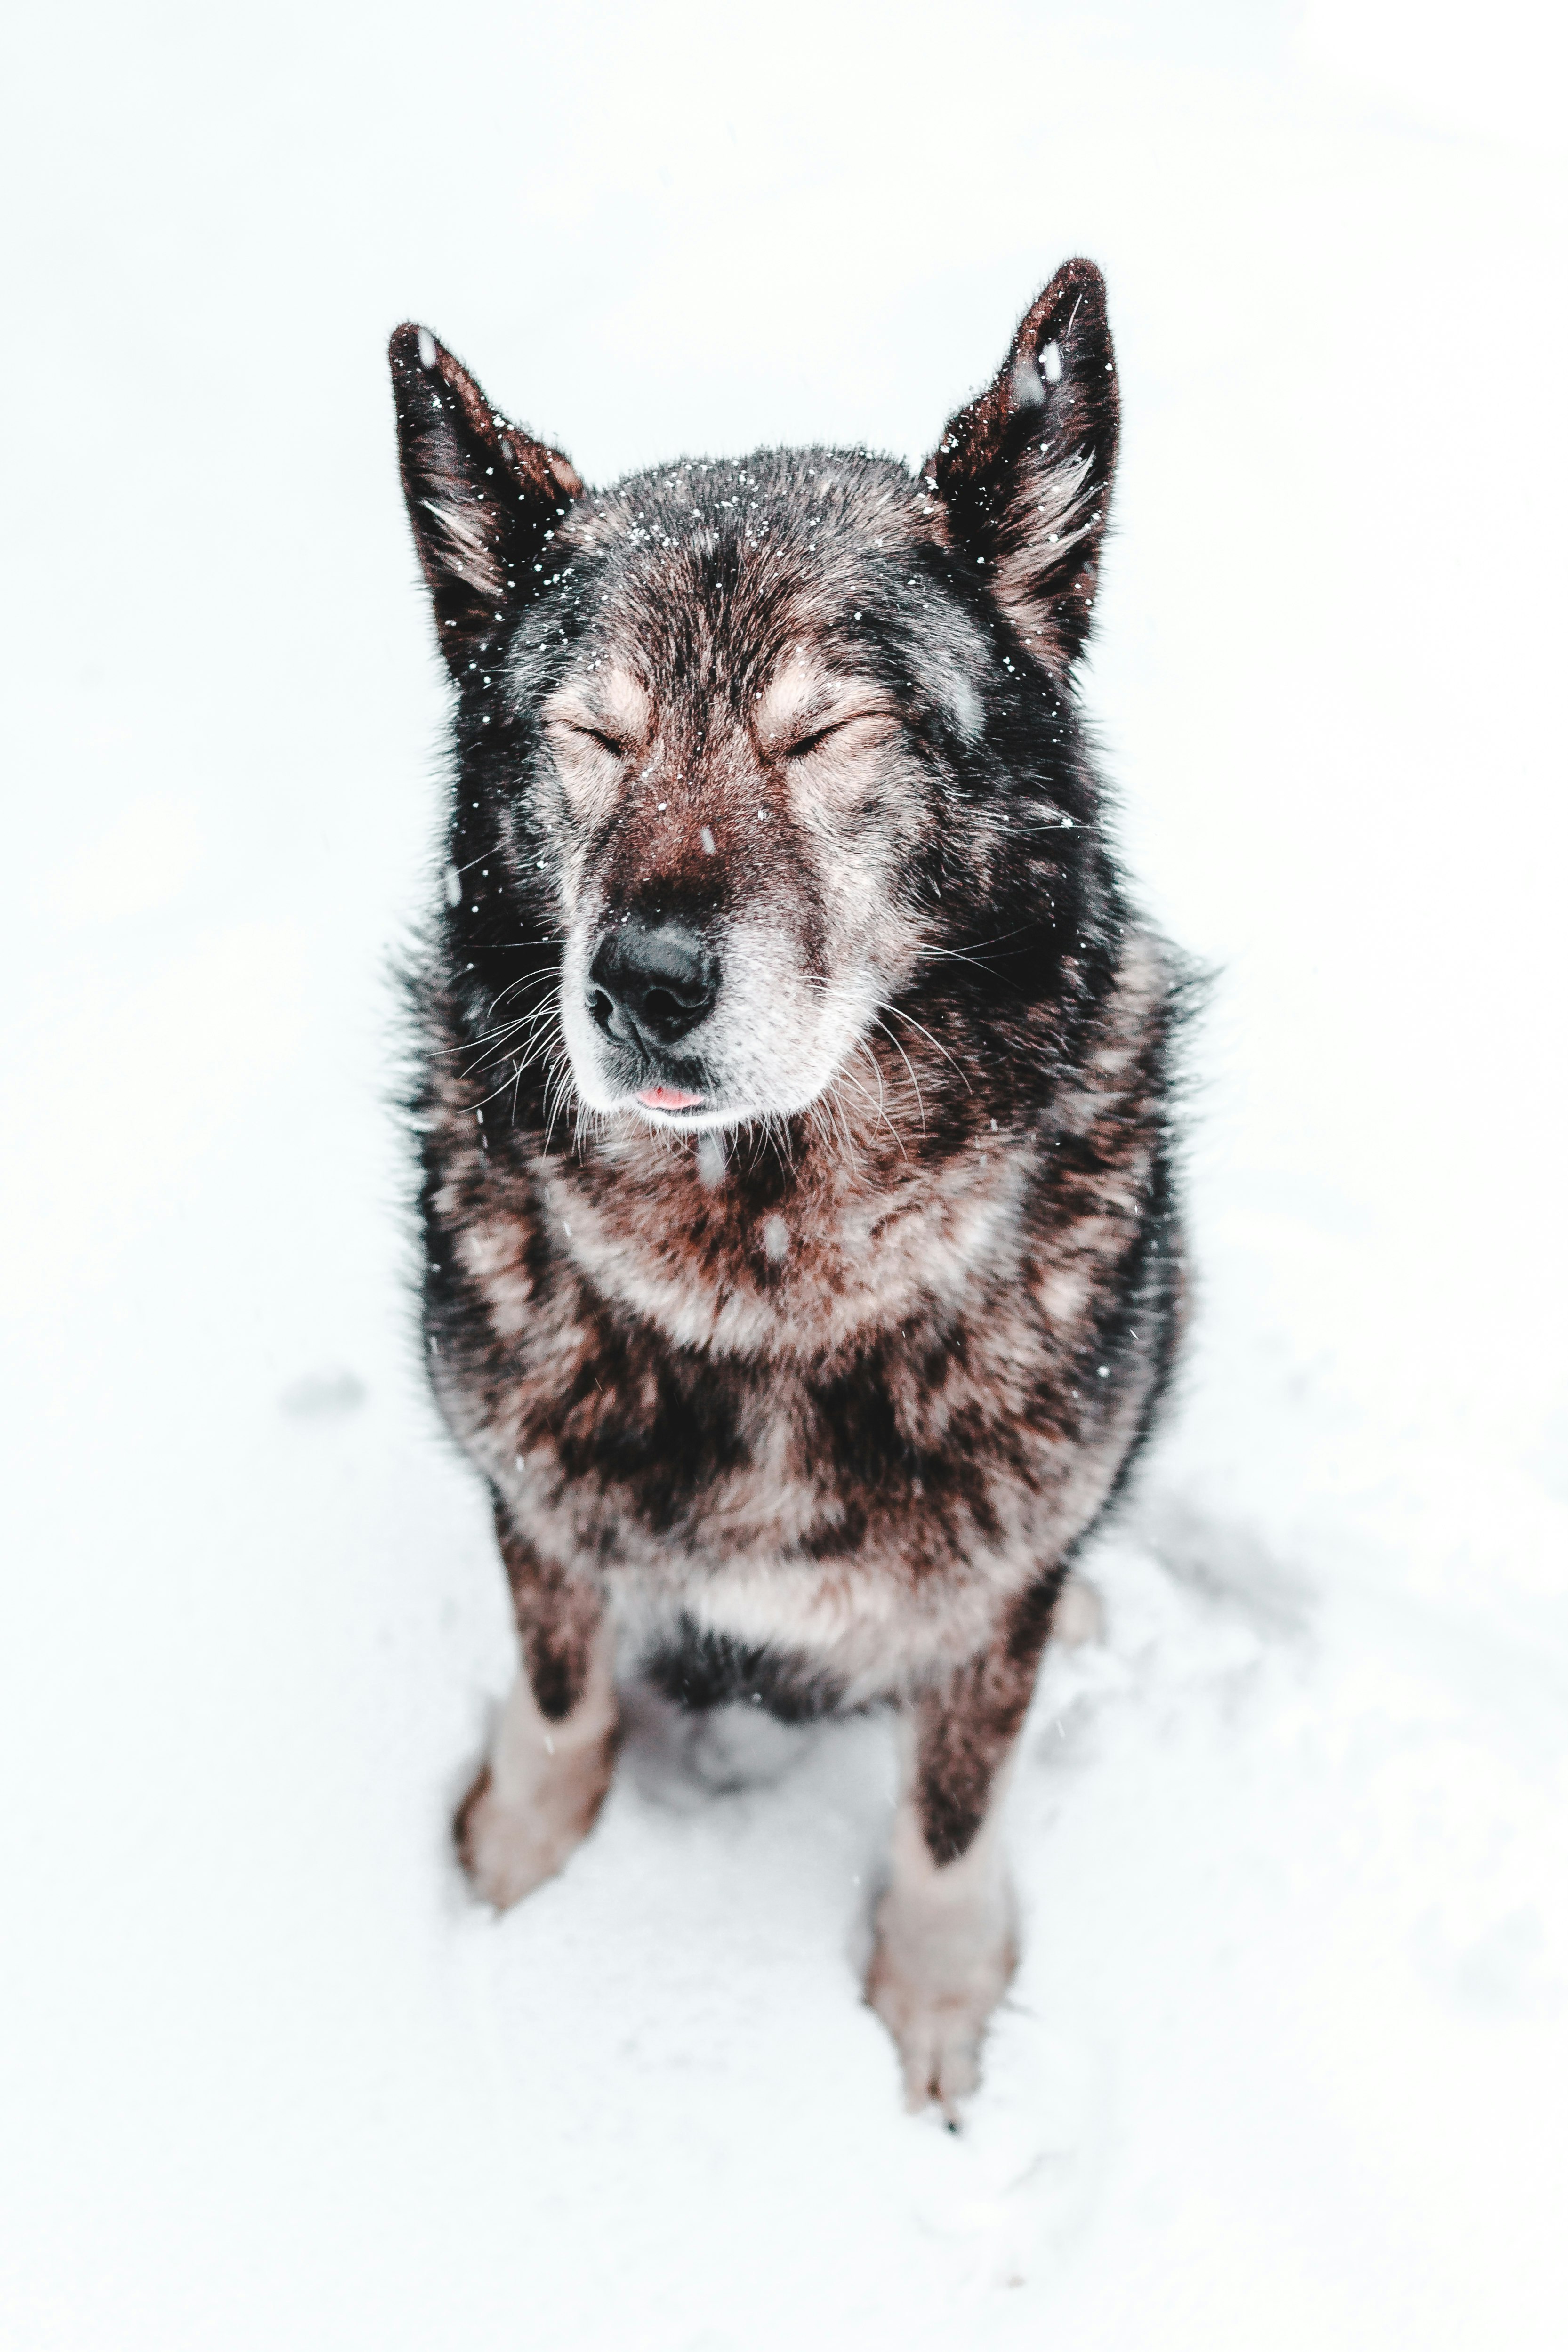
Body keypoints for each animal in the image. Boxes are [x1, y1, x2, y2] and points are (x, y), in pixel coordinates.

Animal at [390, 262, 1189, 2117]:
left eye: (828, 728)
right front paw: (517, 1873)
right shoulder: (538, 1513)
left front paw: (938, 2000)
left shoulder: (982, 1625)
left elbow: (954, 1810)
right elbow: (558, 1694)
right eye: (592, 735)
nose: (642, 983)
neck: (764, 1280)